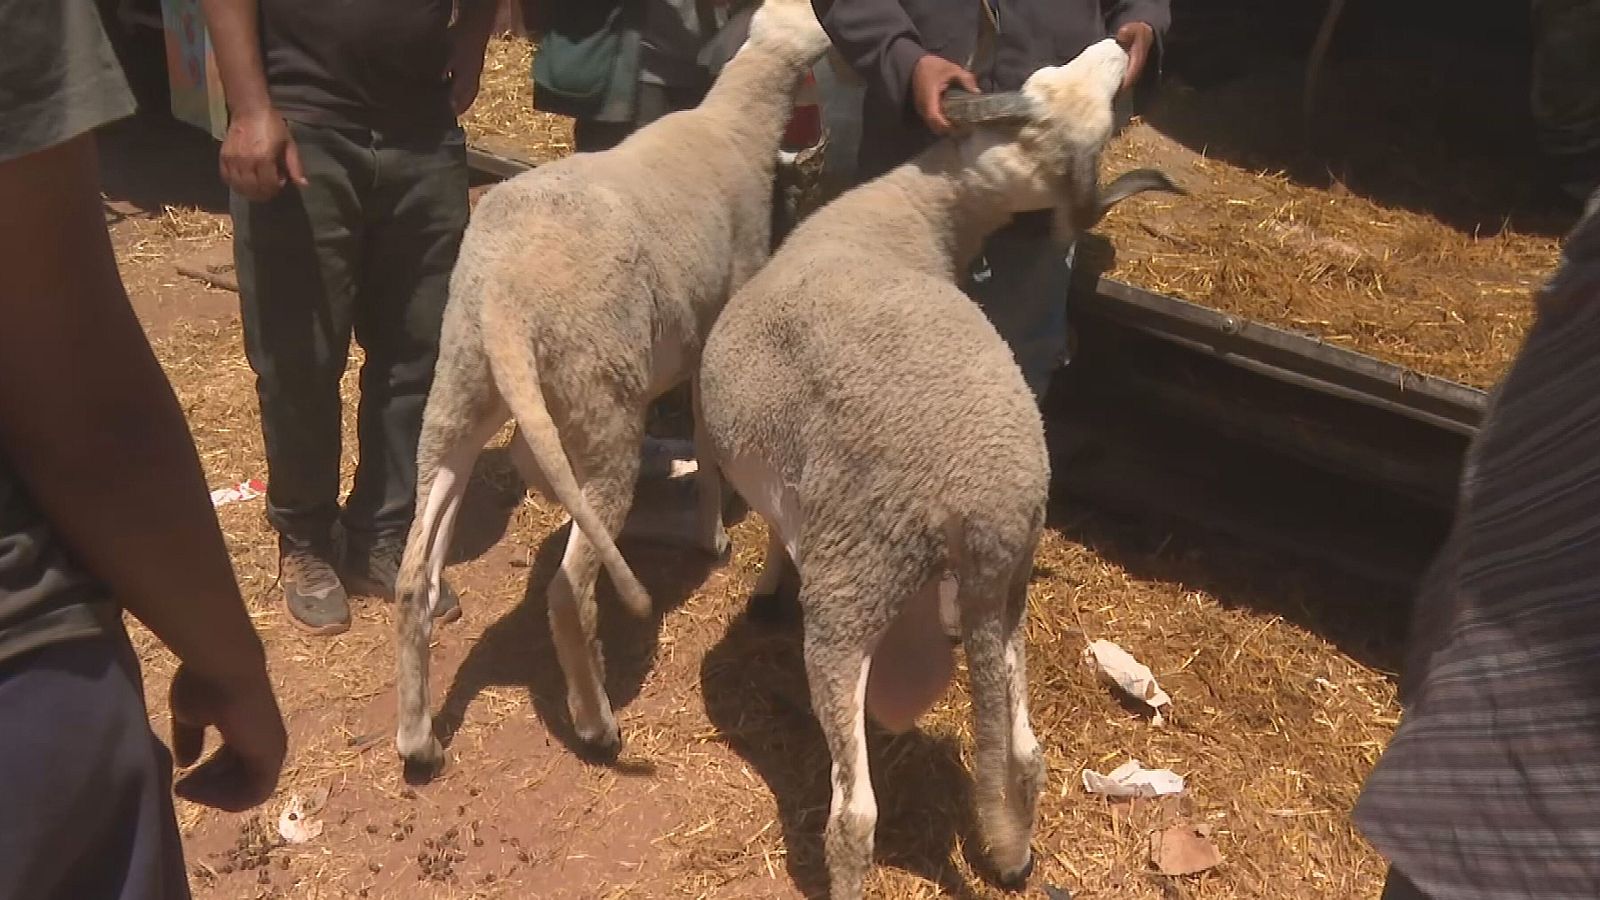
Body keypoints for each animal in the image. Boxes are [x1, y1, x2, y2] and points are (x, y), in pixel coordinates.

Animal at [392, 0, 834, 775]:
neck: (732, 124)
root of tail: (504, 301)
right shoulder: (717, 333)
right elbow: (710, 450)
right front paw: (712, 536)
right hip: (599, 399)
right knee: (571, 588)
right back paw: (596, 724)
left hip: (461, 389)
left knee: (419, 569)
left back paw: (418, 738)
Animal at [697, 39, 1182, 897]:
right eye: (1051, 82)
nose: (1119, 47)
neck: (907, 218)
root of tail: (984, 508)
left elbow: (771, 536)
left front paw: (763, 586)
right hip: (1007, 589)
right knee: (1024, 753)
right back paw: (1014, 852)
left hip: (854, 585)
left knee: (853, 817)